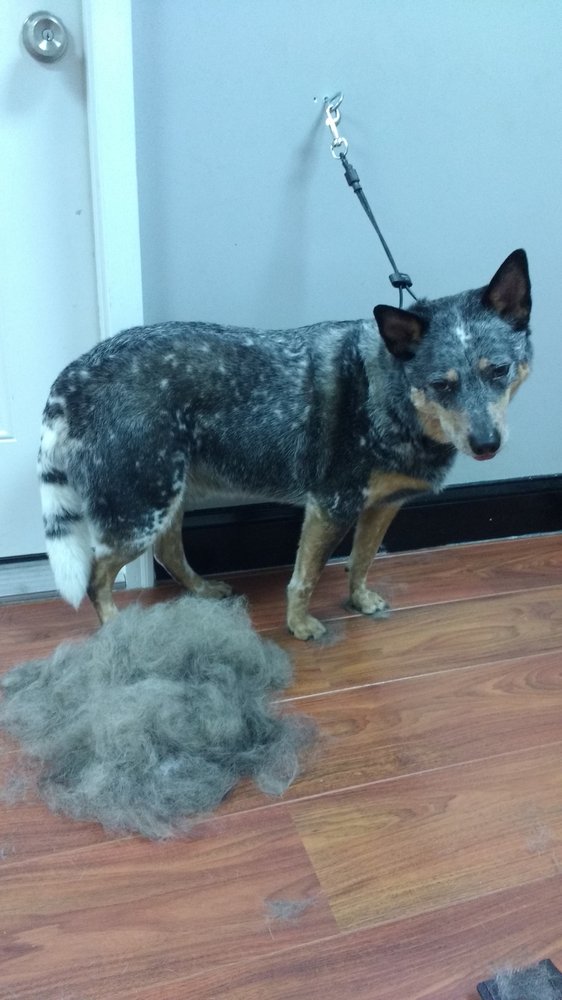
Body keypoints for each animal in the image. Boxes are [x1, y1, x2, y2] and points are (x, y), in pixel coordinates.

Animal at [38, 249, 532, 639]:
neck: (390, 395)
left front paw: (359, 600)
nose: (487, 444)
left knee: (169, 551)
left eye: (499, 370)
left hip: (165, 495)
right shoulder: (330, 505)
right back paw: (116, 630)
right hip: (141, 506)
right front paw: (299, 625)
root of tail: (72, 375)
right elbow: (304, 578)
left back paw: (203, 590)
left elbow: (363, 559)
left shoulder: (383, 505)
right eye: (441, 385)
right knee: (97, 578)